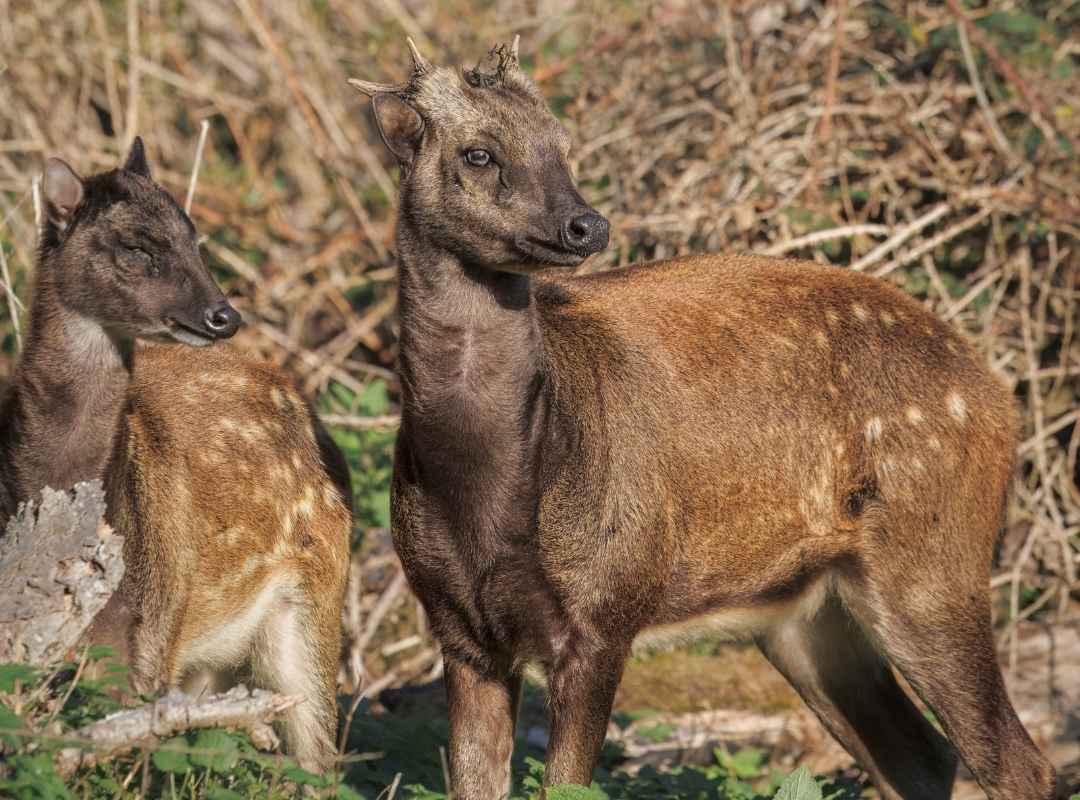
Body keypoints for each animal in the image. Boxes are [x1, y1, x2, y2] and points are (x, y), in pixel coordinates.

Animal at [0, 140, 352, 773]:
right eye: (137, 247)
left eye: (194, 237)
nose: (224, 315)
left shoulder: (149, 637)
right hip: (206, 659)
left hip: (314, 601)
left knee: (317, 761)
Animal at [349, 40, 1057, 800]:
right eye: (478, 153)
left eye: (562, 146)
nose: (586, 223)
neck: (488, 498)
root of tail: (1000, 395)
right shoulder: (459, 631)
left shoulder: (606, 608)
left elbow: (567, 782)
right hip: (805, 615)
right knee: (921, 758)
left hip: (934, 561)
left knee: (1016, 760)